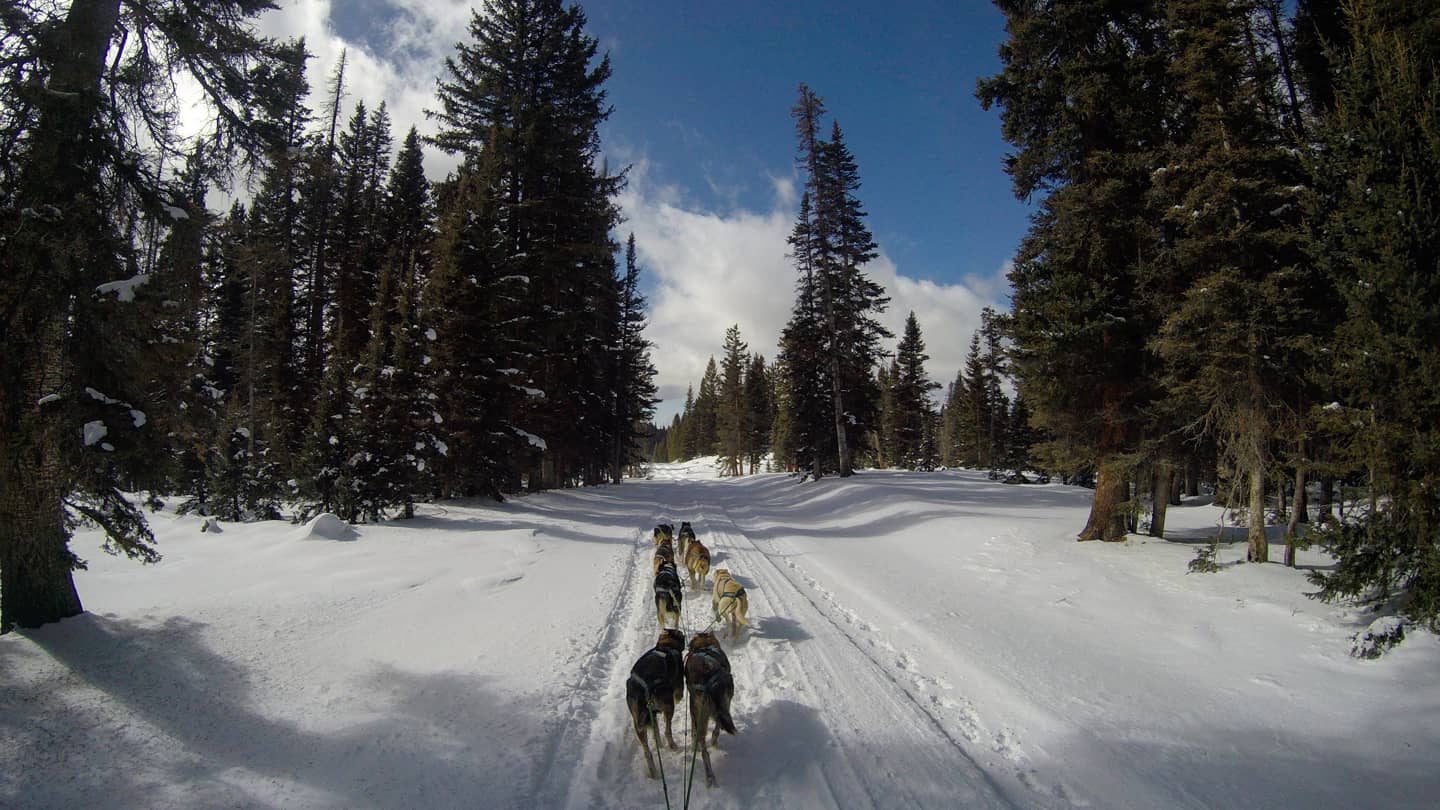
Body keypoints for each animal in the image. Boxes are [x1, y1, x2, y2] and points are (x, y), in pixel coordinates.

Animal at [624, 625, 685, 778]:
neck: (665, 646)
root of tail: (644, 689)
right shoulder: (677, 694)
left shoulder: (652, 716)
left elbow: (656, 731)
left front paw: (659, 743)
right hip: (669, 706)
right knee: (667, 730)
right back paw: (672, 745)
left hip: (639, 723)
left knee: (647, 752)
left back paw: (653, 770)